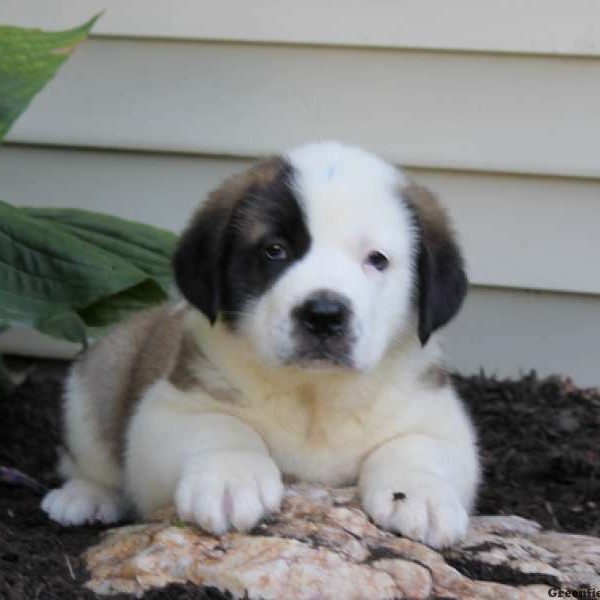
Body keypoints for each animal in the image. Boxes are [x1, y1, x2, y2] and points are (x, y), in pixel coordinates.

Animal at [42, 141, 480, 548]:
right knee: (90, 456)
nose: (324, 314)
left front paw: (420, 494)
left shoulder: (435, 413)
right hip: (98, 379)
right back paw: (85, 495)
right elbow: (217, 426)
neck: (314, 396)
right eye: (275, 251)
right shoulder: (171, 404)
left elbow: (418, 446)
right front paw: (230, 475)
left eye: (377, 260)